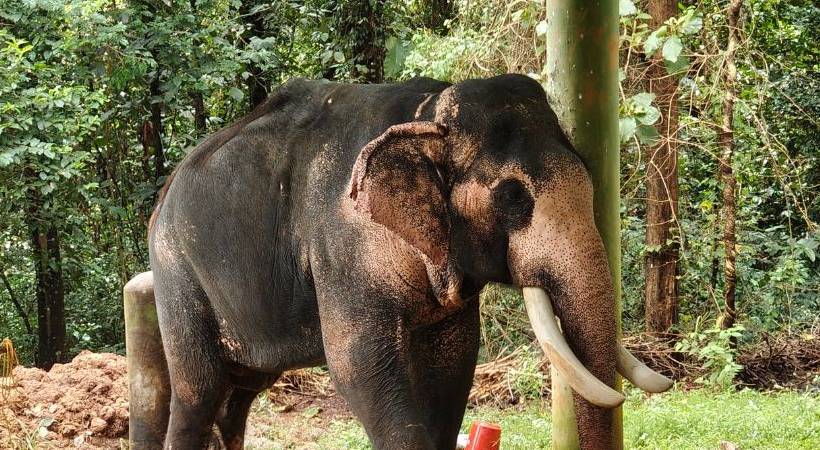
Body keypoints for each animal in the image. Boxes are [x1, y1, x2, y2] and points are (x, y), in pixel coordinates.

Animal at [147, 74, 671, 450]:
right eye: (512, 196)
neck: (427, 114)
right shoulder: (343, 249)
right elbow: (358, 366)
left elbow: (454, 364)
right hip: (176, 273)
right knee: (198, 390)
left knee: (238, 393)